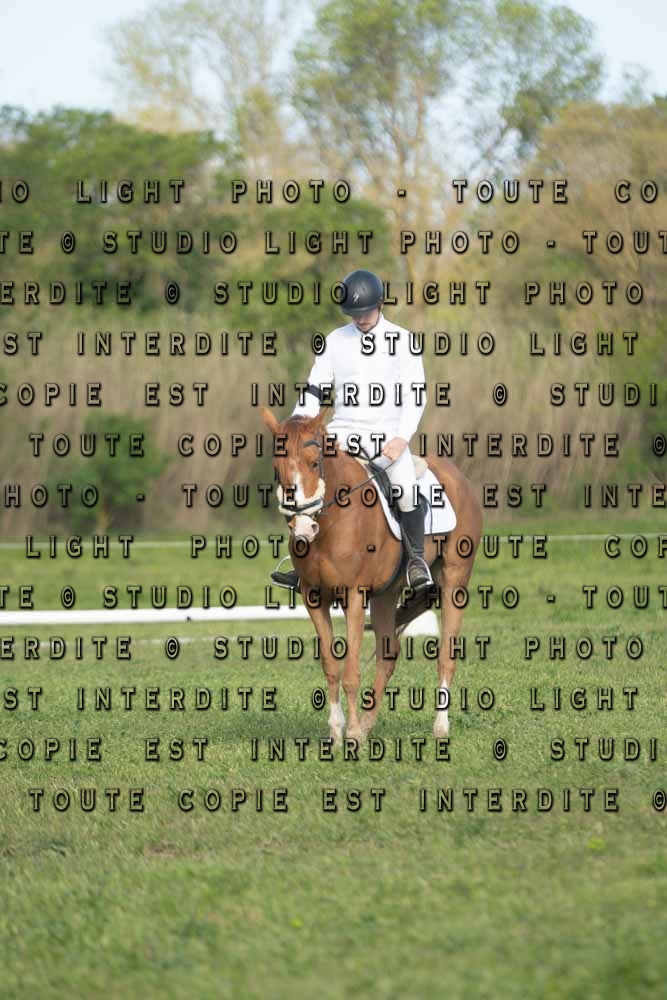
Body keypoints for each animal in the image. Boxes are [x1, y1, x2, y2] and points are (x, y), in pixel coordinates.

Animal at [262, 407, 483, 744]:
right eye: (276, 468)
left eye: (314, 463)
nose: (302, 529)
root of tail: (459, 478)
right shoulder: (315, 599)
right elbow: (331, 666)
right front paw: (337, 731)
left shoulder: (354, 596)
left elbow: (351, 671)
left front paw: (351, 734)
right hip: (385, 595)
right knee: (387, 657)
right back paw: (368, 724)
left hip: (454, 581)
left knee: (446, 655)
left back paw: (440, 727)